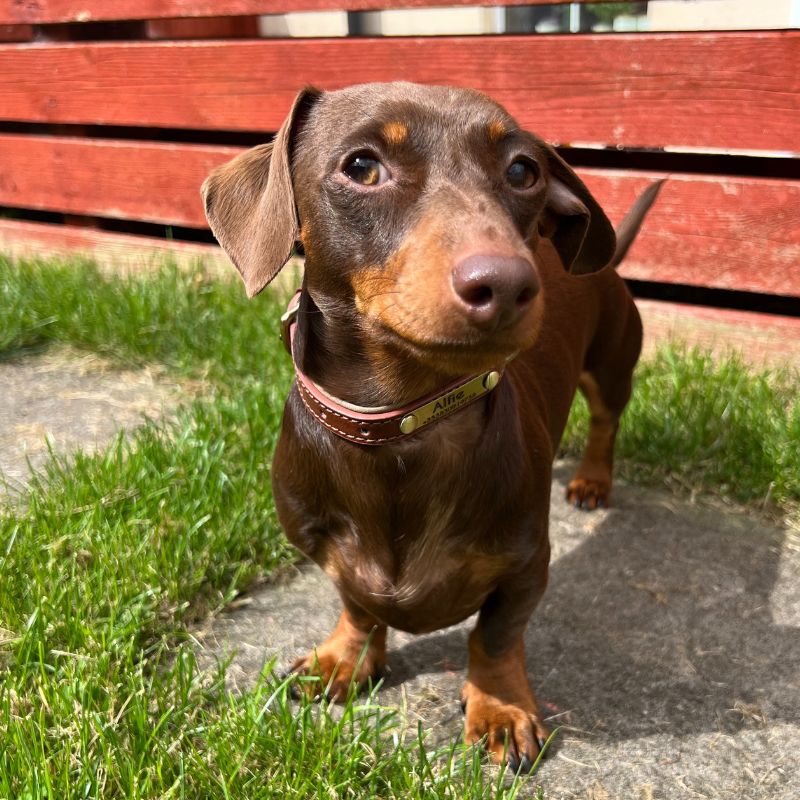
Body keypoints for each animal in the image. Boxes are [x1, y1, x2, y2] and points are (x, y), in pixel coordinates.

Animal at [202, 83, 664, 776]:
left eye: (522, 171)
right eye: (362, 166)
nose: (508, 282)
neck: (406, 426)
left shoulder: (526, 565)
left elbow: (495, 637)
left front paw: (498, 710)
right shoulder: (327, 550)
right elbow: (358, 604)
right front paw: (344, 660)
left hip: (611, 365)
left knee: (607, 421)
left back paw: (591, 481)